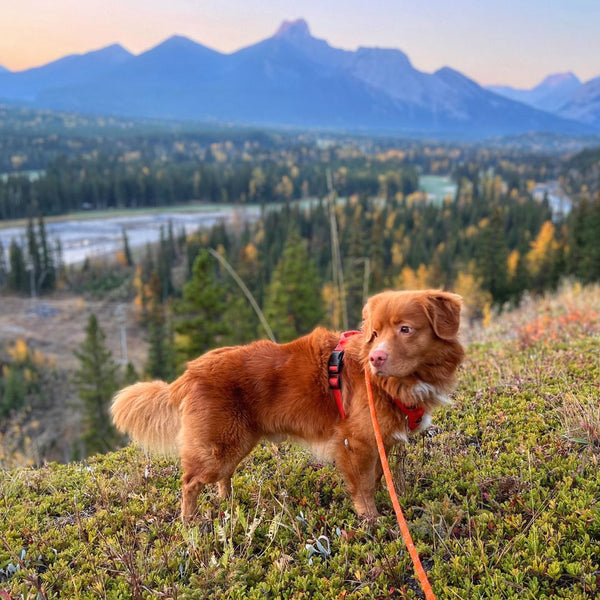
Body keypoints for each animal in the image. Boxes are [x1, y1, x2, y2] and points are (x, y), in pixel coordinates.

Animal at [111, 290, 464, 520]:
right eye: (374, 334)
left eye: (405, 329)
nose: (376, 358)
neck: (395, 383)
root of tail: (190, 372)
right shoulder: (355, 443)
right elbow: (363, 487)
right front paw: (372, 522)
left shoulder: (381, 442)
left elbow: (378, 478)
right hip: (220, 446)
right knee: (189, 483)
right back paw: (190, 523)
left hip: (234, 445)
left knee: (222, 478)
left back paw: (227, 504)